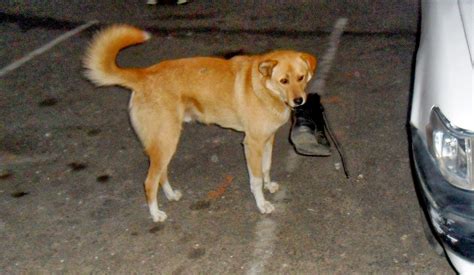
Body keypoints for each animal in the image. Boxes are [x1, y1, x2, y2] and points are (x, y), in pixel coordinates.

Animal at [84, 24, 316, 223]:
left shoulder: (267, 139)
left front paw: (269, 186)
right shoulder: (253, 144)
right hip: (166, 140)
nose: (299, 101)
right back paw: (156, 214)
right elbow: (256, 179)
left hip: (165, 142)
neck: (265, 87)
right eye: (284, 81)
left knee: (161, 174)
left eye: (301, 77)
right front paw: (262, 204)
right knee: (149, 181)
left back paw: (170, 195)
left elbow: (266, 168)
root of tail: (144, 74)